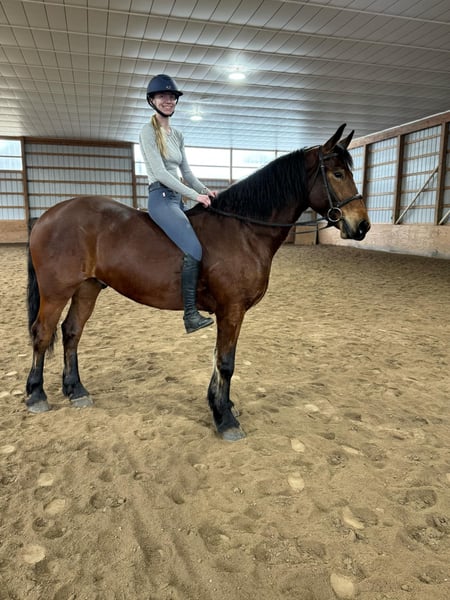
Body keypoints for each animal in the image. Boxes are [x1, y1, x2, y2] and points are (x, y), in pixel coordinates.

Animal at [26, 124, 370, 441]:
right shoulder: (232, 309)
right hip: (56, 291)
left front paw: (221, 406)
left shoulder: (231, 312)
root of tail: (49, 215)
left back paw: (76, 391)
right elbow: (226, 362)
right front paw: (225, 420)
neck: (243, 231)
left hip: (87, 288)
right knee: (43, 333)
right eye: (338, 173)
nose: (362, 225)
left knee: (71, 332)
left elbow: (219, 359)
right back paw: (36, 394)